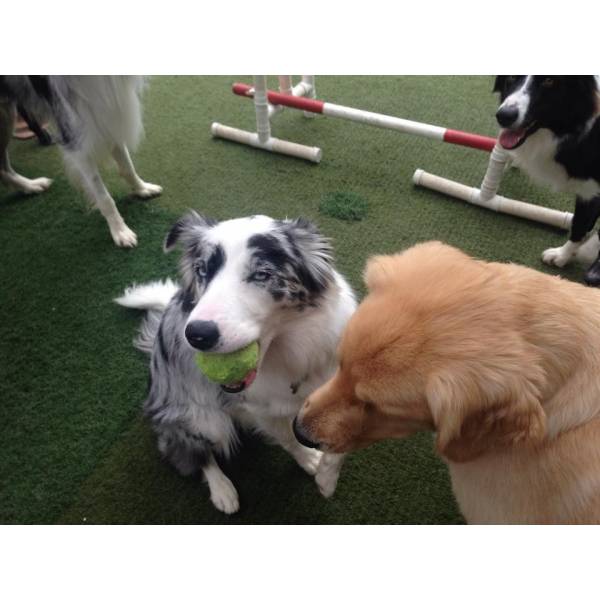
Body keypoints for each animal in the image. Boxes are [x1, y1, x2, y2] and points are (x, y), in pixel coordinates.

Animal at [0, 77, 162, 246]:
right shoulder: (73, 136)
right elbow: (104, 197)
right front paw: (120, 231)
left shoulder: (107, 113)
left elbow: (128, 168)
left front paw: (142, 188)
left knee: (4, 170)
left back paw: (32, 185)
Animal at [115, 213, 354, 512]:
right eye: (202, 270)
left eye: (262, 274)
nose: (197, 335)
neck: (291, 352)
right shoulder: (260, 409)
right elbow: (287, 438)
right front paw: (309, 460)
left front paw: (327, 477)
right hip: (202, 419)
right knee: (194, 452)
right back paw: (222, 490)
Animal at [494, 77, 600, 284]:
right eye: (510, 78)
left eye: (550, 81)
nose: (504, 116)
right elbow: (581, 222)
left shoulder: (592, 191)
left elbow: (581, 223)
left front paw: (561, 256)